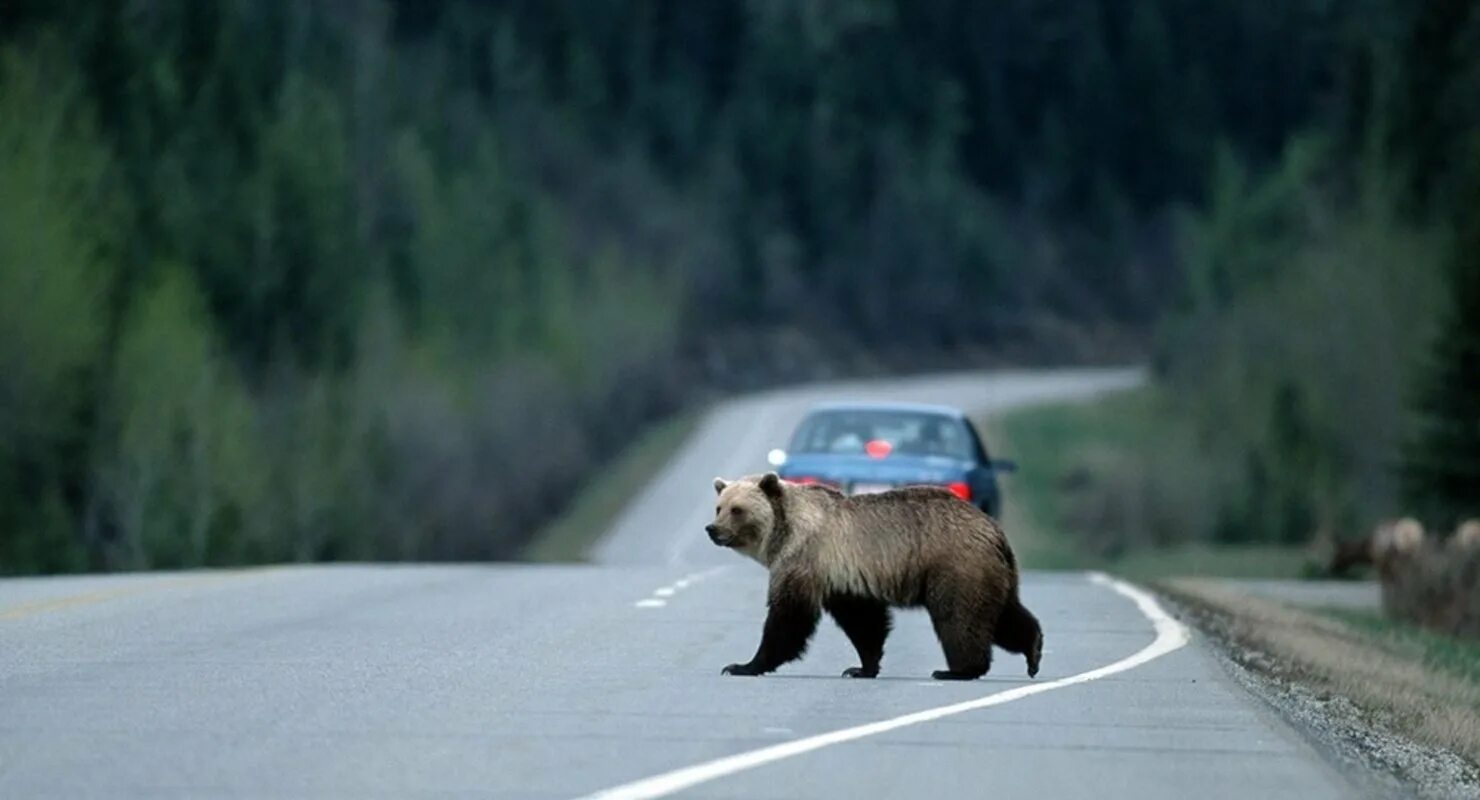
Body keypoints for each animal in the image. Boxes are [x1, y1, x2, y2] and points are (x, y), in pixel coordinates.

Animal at [704, 470, 1041, 677]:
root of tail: (993, 530)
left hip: (955, 566)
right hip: (990, 571)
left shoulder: (805, 558)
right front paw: (861, 668)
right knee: (1004, 614)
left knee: (960, 617)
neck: (783, 531)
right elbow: (863, 621)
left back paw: (957, 670)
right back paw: (1033, 650)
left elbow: (789, 618)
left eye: (737, 510)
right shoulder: (842, 575)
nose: (712, 529)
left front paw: (742, 665)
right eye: (719, 507)